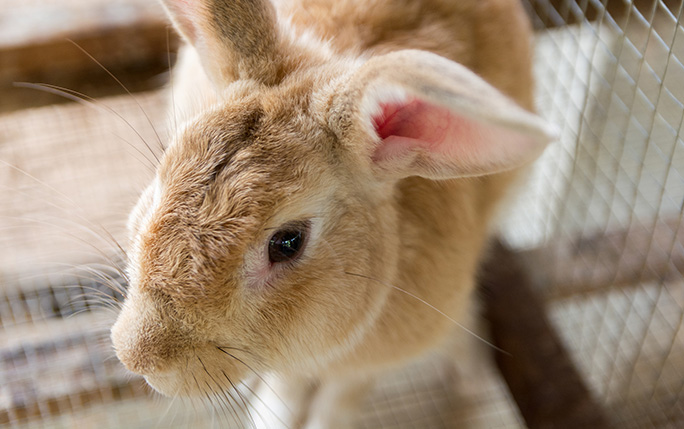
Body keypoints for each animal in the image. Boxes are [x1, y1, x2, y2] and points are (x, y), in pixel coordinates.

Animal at [108, 0, 556, 424]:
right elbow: (286, 387)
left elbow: (341, 397)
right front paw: (272, 415)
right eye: (161, 177)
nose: (136, 357)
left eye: (287, 242)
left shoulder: (367, 364)